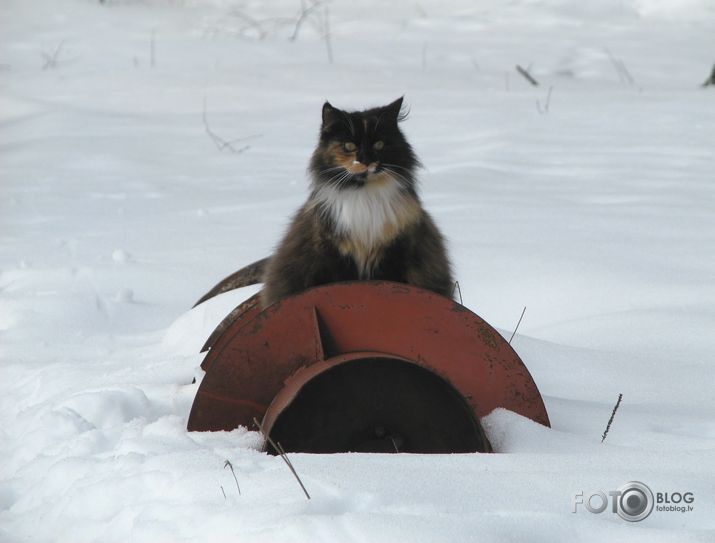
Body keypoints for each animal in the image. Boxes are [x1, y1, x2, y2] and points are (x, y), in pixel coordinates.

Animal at [262, 98, 454, 308]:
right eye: (349, 146)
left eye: (379, 144)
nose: (366, 160)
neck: (364, 194)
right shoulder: (333, 255)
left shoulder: (395, 251)